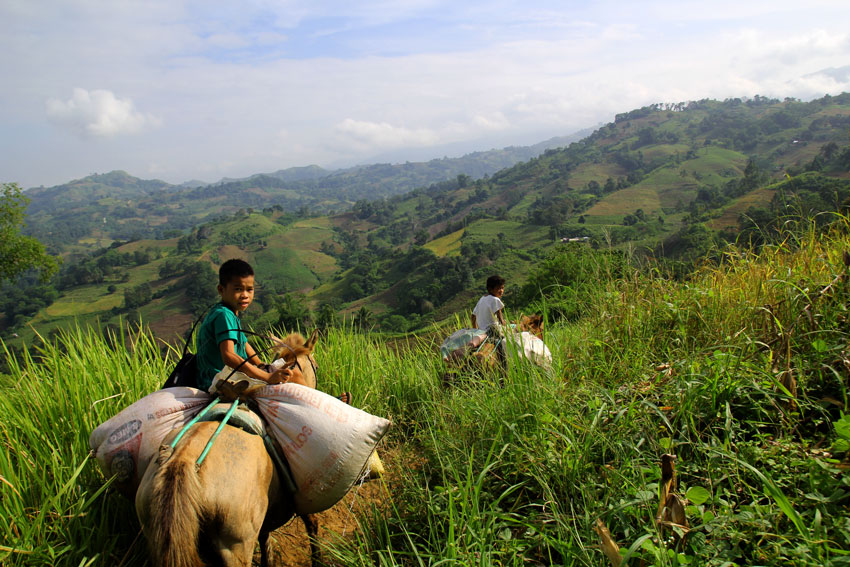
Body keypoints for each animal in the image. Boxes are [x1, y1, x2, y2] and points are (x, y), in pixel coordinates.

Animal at [136, 330, 322, 564]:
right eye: (316, 365)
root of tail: (184, 461)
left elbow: (266, 542)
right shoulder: (299, 494)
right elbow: (312, 526)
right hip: (235, 544)